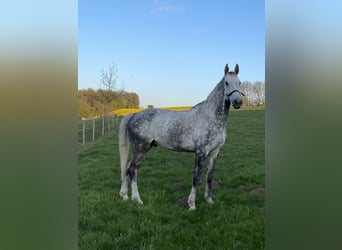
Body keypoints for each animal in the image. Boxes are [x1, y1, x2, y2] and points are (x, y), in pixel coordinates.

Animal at [119, 63, 243, 210]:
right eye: (226, 83)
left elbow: (209, 177)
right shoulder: (200, 152)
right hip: (140, 148)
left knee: (128, 169)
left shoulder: (214, 153)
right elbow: (196, 177)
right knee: (132, 170)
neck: (211, 118)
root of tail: (133, 115)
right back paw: (137, 199)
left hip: (142, 149)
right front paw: (192, 205)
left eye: (239, 83)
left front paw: (209, 200)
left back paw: (125, 196)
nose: (238, 102)